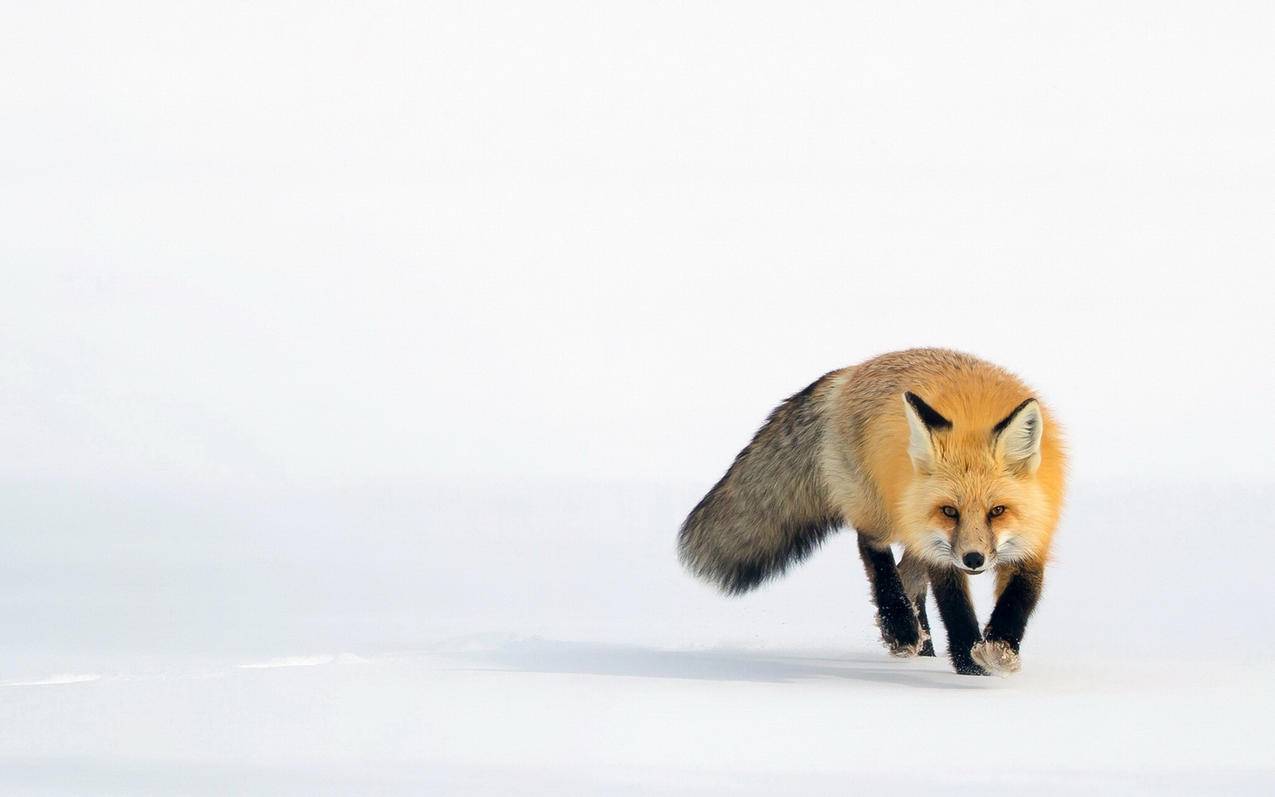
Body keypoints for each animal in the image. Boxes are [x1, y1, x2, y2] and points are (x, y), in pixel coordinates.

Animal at [678, 344, 1065, 673]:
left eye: (997, 511)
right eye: (949, 511)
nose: (973, 559)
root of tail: (852, 370)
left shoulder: (1034, 537)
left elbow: (1020, 598)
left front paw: (1000, 650)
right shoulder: (942, 553)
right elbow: (955, 607)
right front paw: (970, 665)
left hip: (915, 529)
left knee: (909, 577)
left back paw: (922, 644)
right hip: (885, 514)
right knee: (874, 552)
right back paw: (901, 628)